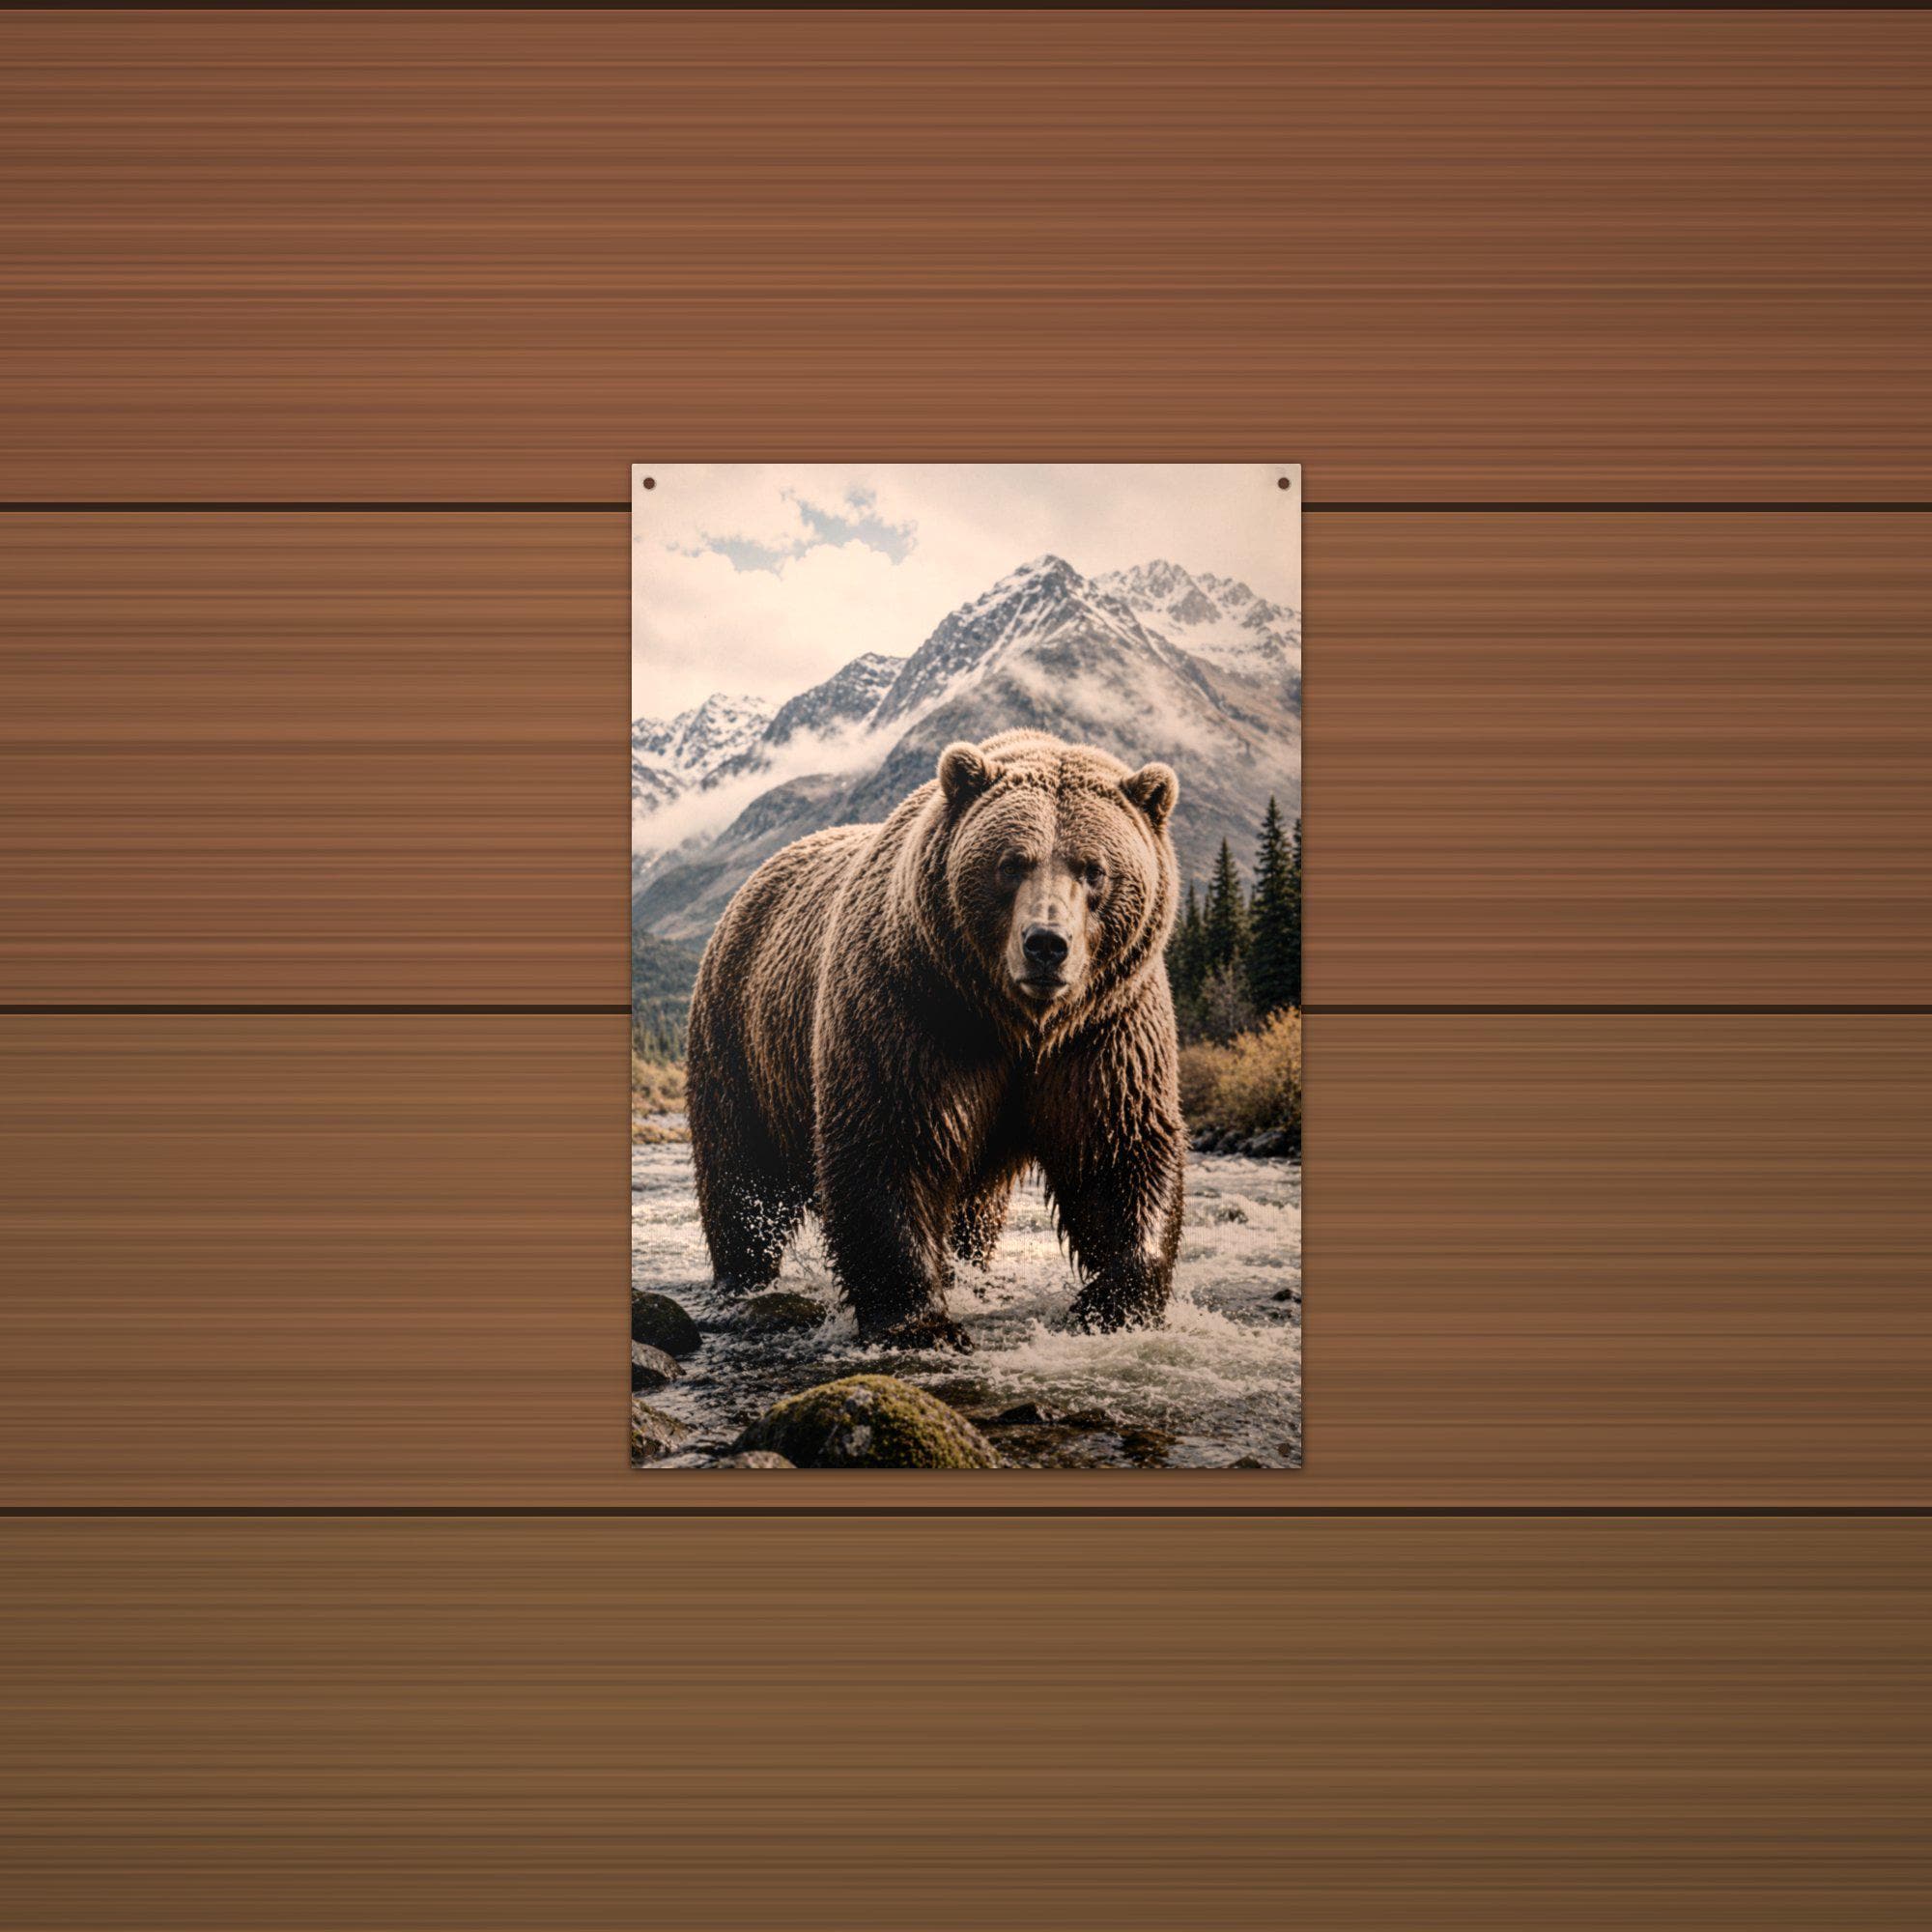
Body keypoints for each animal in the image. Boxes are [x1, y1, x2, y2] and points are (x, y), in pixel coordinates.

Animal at [685, 729, 1187, 1350]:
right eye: (1011, 863)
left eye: (1093, 868)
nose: (1046, 944)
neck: (1017, 1022)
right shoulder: (914, 1008)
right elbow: (891, 1141)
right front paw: (921, 1322)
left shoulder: (1104, 1030)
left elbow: (1119, 1151)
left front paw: (1115, 1305)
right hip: (741, 1039)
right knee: (741, 1174)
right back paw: (744, 1277)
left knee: (974, 1211)